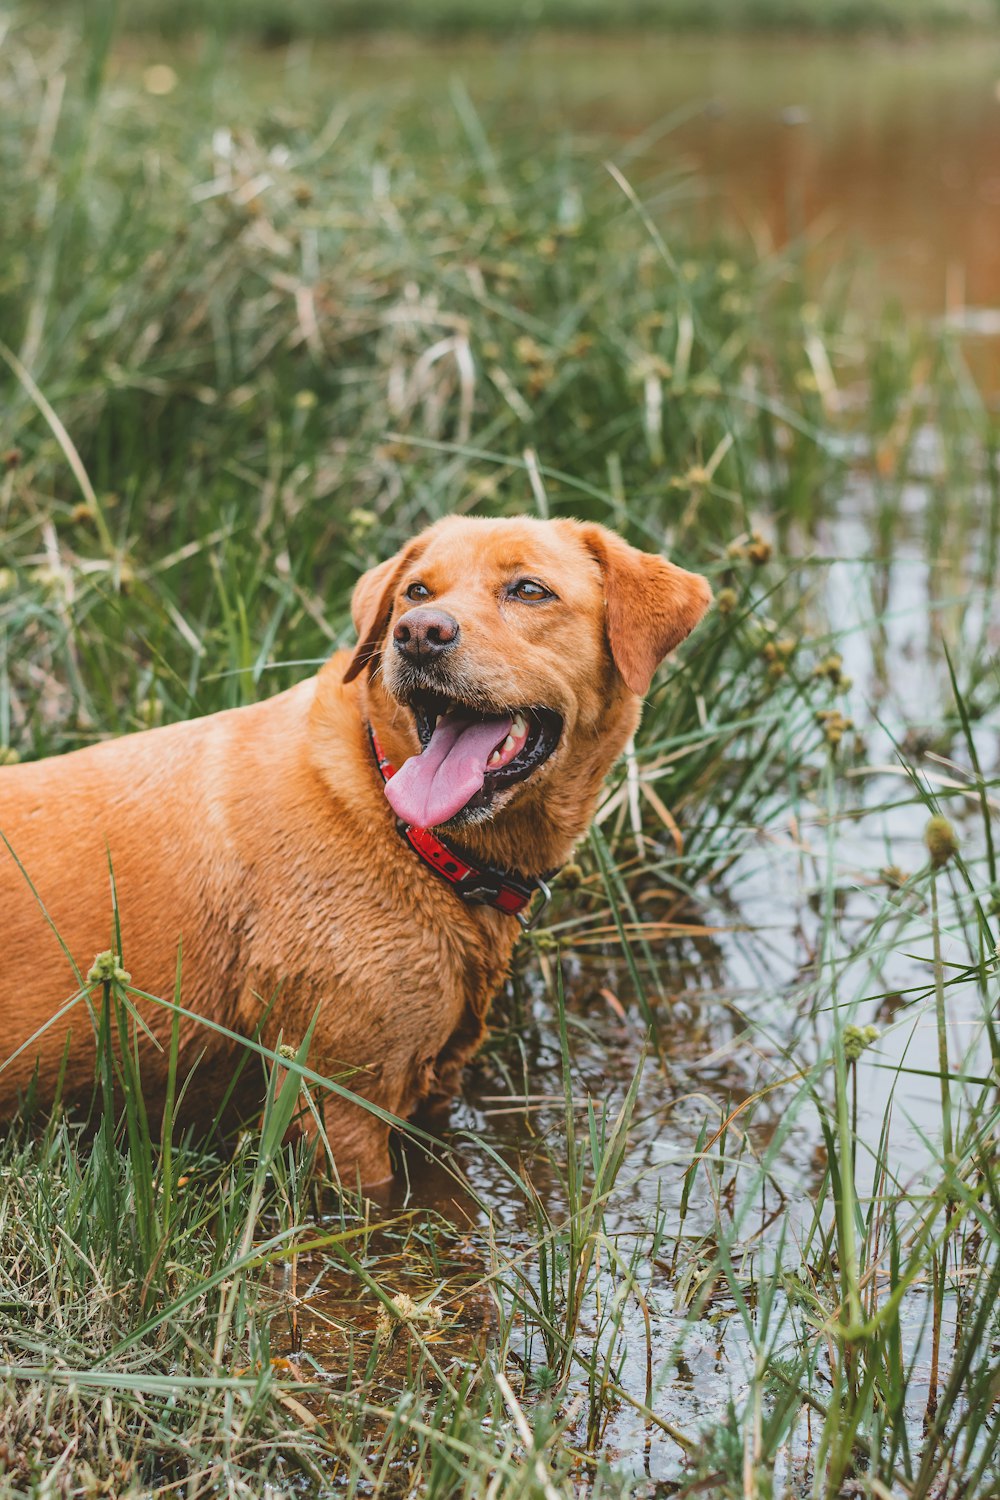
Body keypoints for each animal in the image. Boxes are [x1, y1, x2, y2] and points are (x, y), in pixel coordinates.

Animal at [0, 516, 710, 1182]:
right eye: (416, 592)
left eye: (530, 590)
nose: (419, 633)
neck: (399, 822)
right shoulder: (339, 1107)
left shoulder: (435, 1083)